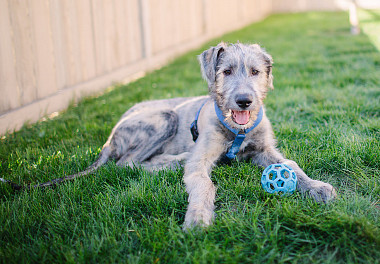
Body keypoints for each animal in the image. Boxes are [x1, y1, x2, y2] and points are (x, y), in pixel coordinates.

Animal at [2, 42, 336, 228]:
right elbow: (203, 185)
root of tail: (109, 138)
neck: (236, 130)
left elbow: (290, 165)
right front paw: (198, 218)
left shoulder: (266, 149)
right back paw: (174, 160)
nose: (244, 101)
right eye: (226, 71)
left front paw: (316, 187)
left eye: (255, 71)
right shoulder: (201, 159)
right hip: (165, 117)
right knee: (127, 164)